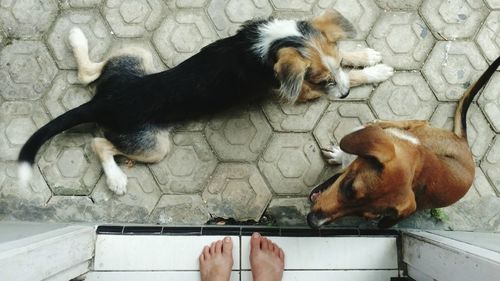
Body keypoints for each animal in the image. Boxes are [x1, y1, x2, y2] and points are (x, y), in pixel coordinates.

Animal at [17, 9, 392, 194]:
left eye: (334, 65)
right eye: (321, 81)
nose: (343, 97)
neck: (276, 42)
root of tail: (103, 102)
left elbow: (348, 58)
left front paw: (365, 55)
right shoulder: (298, 92)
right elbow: (353, 77)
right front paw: (376, 72)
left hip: (134, 56)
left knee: (86, 74)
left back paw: (76, 37)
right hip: (153, 145)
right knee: (98, 143)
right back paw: (116, 180)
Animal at [306, 55, 500, 229]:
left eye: (365, 216)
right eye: (349, 188)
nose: (313, 222)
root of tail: (463, 142)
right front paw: (339, 153)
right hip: (420, 126)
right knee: (412, 122)